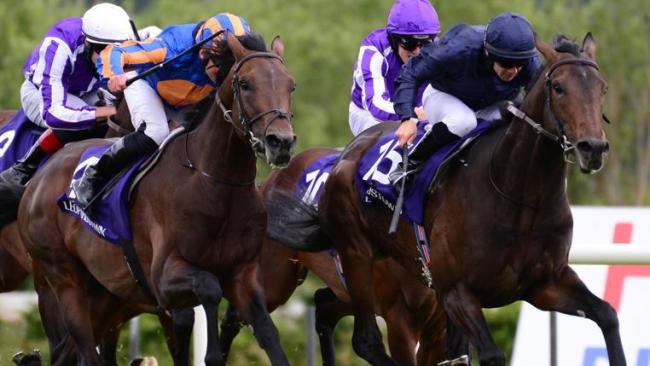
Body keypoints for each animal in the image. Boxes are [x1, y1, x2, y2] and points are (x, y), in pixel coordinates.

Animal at [3, 32, 296, 366]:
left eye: (291, 85)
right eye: (245, 83)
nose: (281, 142)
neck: (216, 183)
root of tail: (40, 175)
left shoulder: (243, 275)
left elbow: (268, 333)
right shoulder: (165, 278)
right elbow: (208, 288)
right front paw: (211, 353)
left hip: (105, 291)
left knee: (68, 349)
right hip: (63, 277)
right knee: (85, 348)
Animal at [218, 147, 446, 364]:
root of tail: (271, 178)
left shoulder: (436, 331)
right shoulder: (400, 320)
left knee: (323, 307)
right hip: (277, 279)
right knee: (237, 316)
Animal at [264, 33, 624, 364]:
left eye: (603, 88)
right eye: (559, 87)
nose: (593, 147)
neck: (520, 199)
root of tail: (345, 156)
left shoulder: (546, 285)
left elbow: (607, 316)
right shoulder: (452, 294)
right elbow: (490, 354)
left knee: (327, 309)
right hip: (351, 258)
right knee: (363, 339)